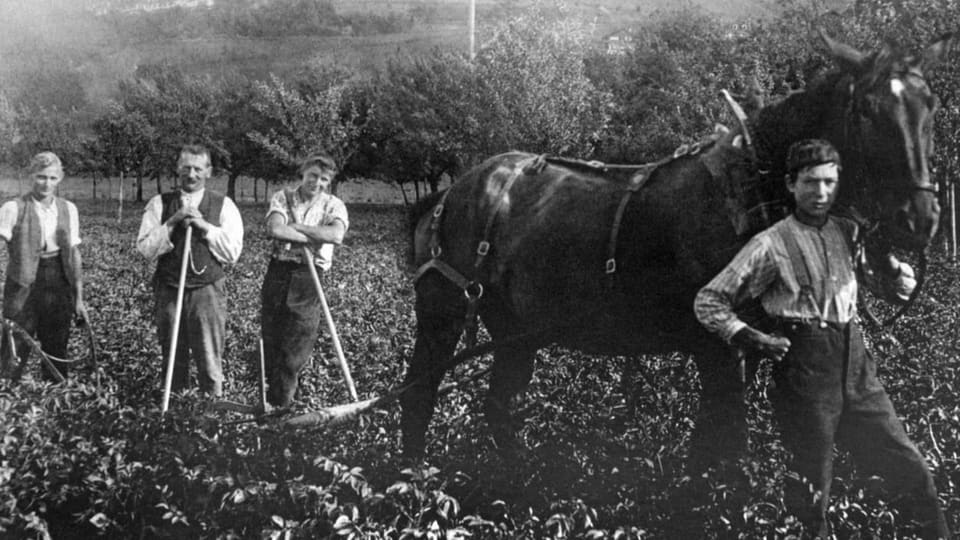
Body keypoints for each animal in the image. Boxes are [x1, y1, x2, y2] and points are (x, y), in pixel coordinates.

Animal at [400, 33, 952, 462]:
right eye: (866, 113)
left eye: (931, 107)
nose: (919, 219)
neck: (749, 191)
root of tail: (450, 192)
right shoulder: (719, 350)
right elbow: (726, 451)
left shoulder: (751, 347)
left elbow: (715, 446)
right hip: (442, 314)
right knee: (418, 397)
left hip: (516, 332)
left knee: (500, 409)